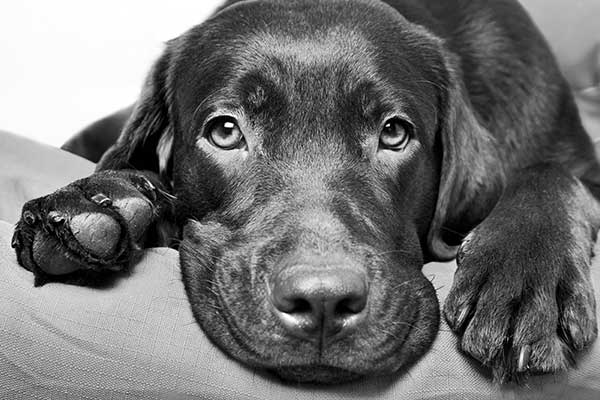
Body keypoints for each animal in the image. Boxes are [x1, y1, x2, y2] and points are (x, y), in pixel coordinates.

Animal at [10, 0, 600, 384]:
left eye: (394, 133)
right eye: (225, 131)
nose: (322, 302)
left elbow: (550, 173)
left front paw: (524, 277)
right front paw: (96, 201)